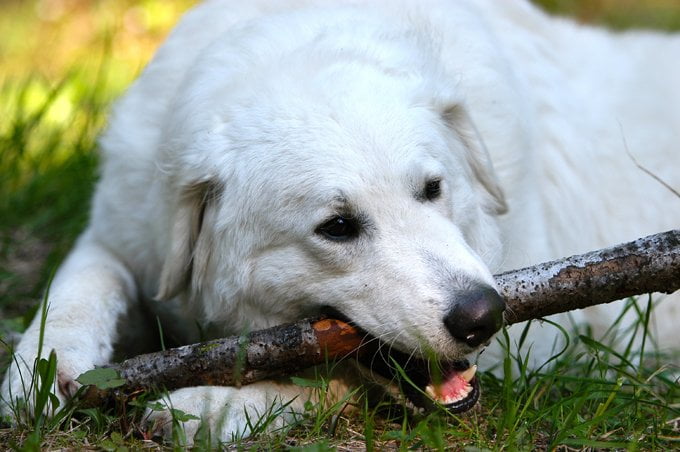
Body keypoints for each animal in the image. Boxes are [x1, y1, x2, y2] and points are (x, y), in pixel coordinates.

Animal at [1, 0, 680, 444]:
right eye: (337, 227)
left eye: (433, 190)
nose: (483, 316)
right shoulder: (123, 230)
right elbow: (77, 287)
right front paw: (38, 374)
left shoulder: (536, 343)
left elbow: (331, 384)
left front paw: (212, 406)